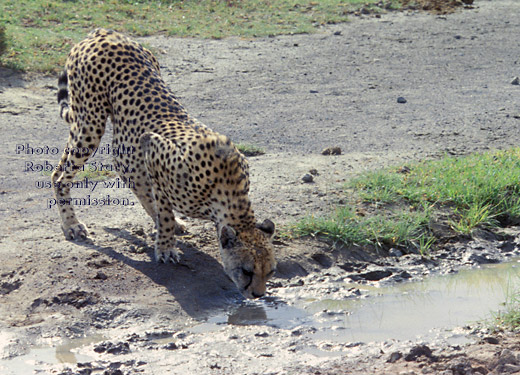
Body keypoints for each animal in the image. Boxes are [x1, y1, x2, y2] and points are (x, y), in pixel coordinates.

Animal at [52, 28, 276, 300]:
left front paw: (165, 232)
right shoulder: (154, 150)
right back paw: (71, 225)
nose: (259, 295)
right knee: (61, 176)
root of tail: (103, 32)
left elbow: (157, 202)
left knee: (115, 170)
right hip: (90, 122)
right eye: (246, 271)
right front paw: (166, 247)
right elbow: (165, 210)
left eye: (271, 271)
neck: (227, 192)